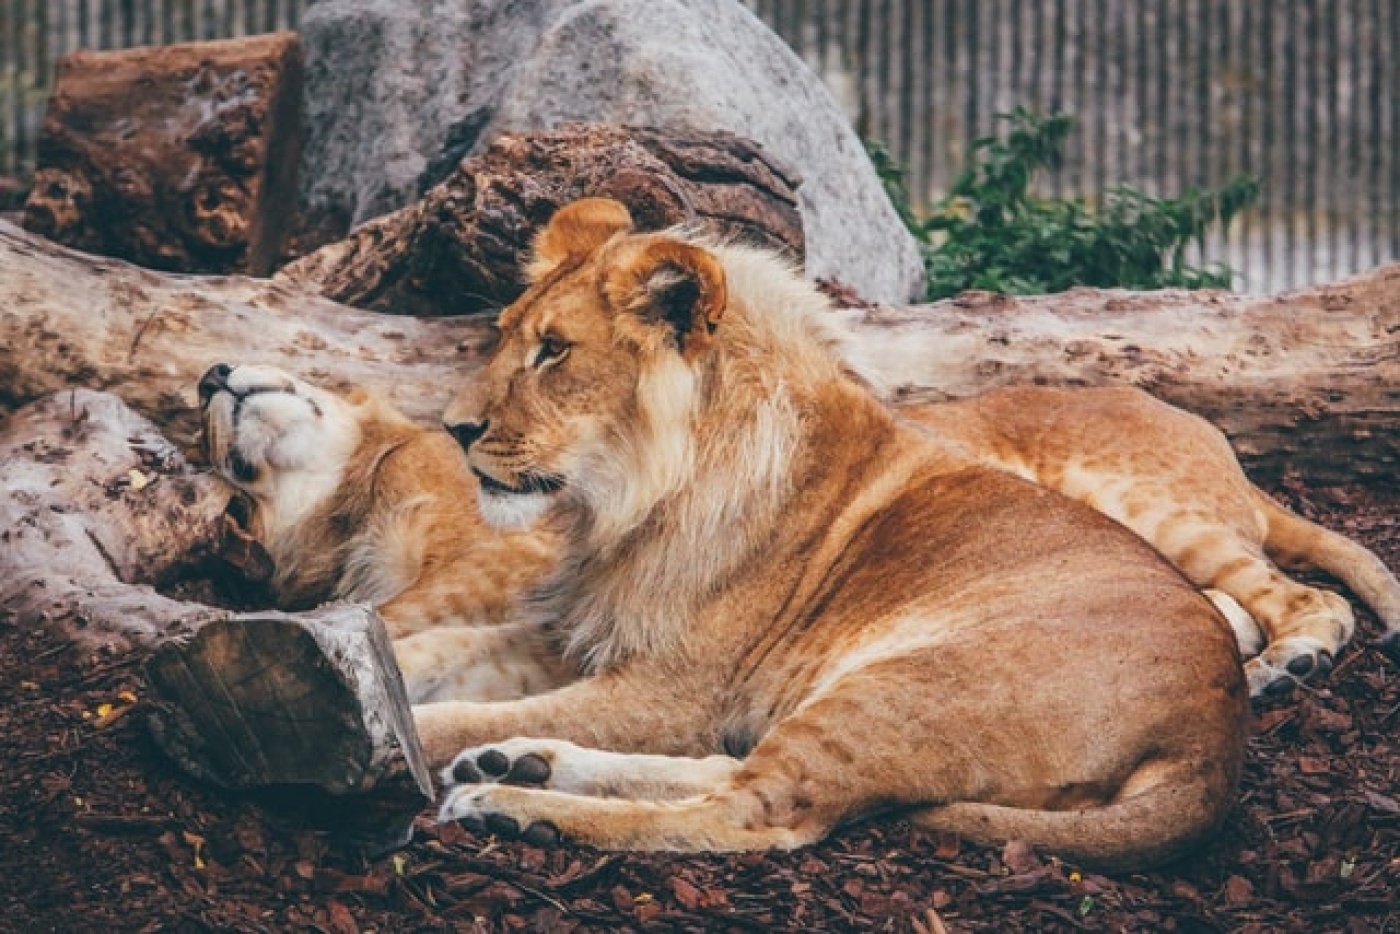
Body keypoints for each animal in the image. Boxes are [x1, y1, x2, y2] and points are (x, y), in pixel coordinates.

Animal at [415, 197, 1251, 869]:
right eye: (504, 336)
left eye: (553, 349)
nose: (454, 429)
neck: (628, 502)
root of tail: (1214, 742)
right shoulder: (586, 632)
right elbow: (445, 650)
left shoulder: (672, 695)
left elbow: (455, 715)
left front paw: (409, 735)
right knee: (733, 771)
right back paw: (518, 763)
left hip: (898, 687)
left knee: (750, 813)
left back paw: (513, 806)